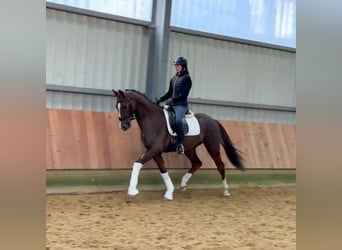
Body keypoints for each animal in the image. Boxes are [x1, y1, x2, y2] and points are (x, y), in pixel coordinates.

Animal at [113, 89, 244, 200]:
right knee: (197, 163)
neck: (152, 119)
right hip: (189, 148)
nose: (123, 126)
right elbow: (163, 169)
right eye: (116, 106)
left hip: (212, 146)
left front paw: (132, 190)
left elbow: (137, 163)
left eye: (124, 106)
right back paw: (183, 184)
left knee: (220, 165)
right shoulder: (154, 151)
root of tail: (213, 120)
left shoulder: (155, 149)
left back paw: (226, 191)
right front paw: (169, 192)